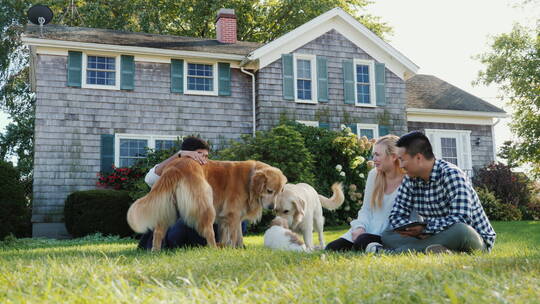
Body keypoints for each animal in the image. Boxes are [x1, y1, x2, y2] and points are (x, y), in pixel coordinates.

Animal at [126, 158, 286, 251]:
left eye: (279, 192)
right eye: (269, 190)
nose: (272, 208)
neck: (249, 181)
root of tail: (175, 166)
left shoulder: (233, 217)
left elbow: (236, 235)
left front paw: (238, 248)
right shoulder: (232, 214)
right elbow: (234, 235)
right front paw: (234, 249)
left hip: (167, 208)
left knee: (158, 231)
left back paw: (156, 250)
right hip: (205, 203)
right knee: (208, 230)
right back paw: (214, 248)